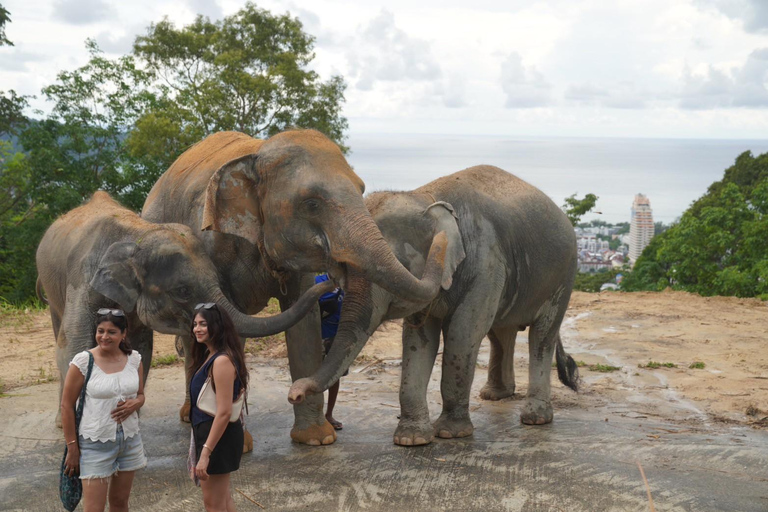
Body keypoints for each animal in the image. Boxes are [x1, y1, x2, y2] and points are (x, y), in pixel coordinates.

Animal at [36, 191, 332, 435]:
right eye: (183, 291)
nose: (330, 283)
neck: (138, 235)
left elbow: (138, 349)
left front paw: (129, 417)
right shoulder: (82, 281)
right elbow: (74, 346)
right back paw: (60, 422)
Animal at [141, 129, 448, 445]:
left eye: (361, 189)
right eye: (311, 204)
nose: (336, 278)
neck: (257, 153)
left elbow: (305, 324)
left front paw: (317, 439)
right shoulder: (211, 246)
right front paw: (240, 443)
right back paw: (189, 415)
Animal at [288, 165, 580, 446]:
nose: (294, 394)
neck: (425, 197)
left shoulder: (486, 264)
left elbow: (463, 333)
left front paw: (450, 433)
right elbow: (418, 339)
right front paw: (411, 439)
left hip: (563, 276)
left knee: (542, 336)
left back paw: (535, 418)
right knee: (501, 333)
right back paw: (495, 395)